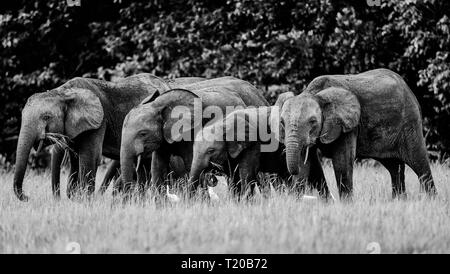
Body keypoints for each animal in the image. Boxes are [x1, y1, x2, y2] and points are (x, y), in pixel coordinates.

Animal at [11, 73, 206, 201]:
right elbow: (75, 159)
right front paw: (75, 199)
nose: (27, 197)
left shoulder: (98, 122)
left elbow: (89, 157)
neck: (63, 92)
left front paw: (84, 201)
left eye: (46, 117)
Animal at [274, 67, 436, 198]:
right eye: (282, 122)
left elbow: (342, 162)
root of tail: (409, 89)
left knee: (419, 163)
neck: (315, 94)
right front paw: (297, 201)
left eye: (313, 121)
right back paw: (399, 201)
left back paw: (430, 200)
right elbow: (304, 162)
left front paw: (346, 204)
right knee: (394, 168)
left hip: (410, 122)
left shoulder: (348, 126)